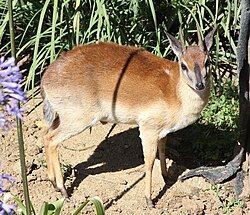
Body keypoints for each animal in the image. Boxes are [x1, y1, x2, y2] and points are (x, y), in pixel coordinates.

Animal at [40, 28, 216, 208]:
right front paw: (149, 200)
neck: (174, 91)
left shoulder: (163, 132)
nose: (200, 85)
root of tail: (46, 78)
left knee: (45, 135)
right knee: (52, 140)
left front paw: (166, 177)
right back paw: (63, 190)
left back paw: (53, 183)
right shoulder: (147, 130)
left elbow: (162, 151)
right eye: (183, 65)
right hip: (77, 120)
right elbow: (149, 163)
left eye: (207, 61)